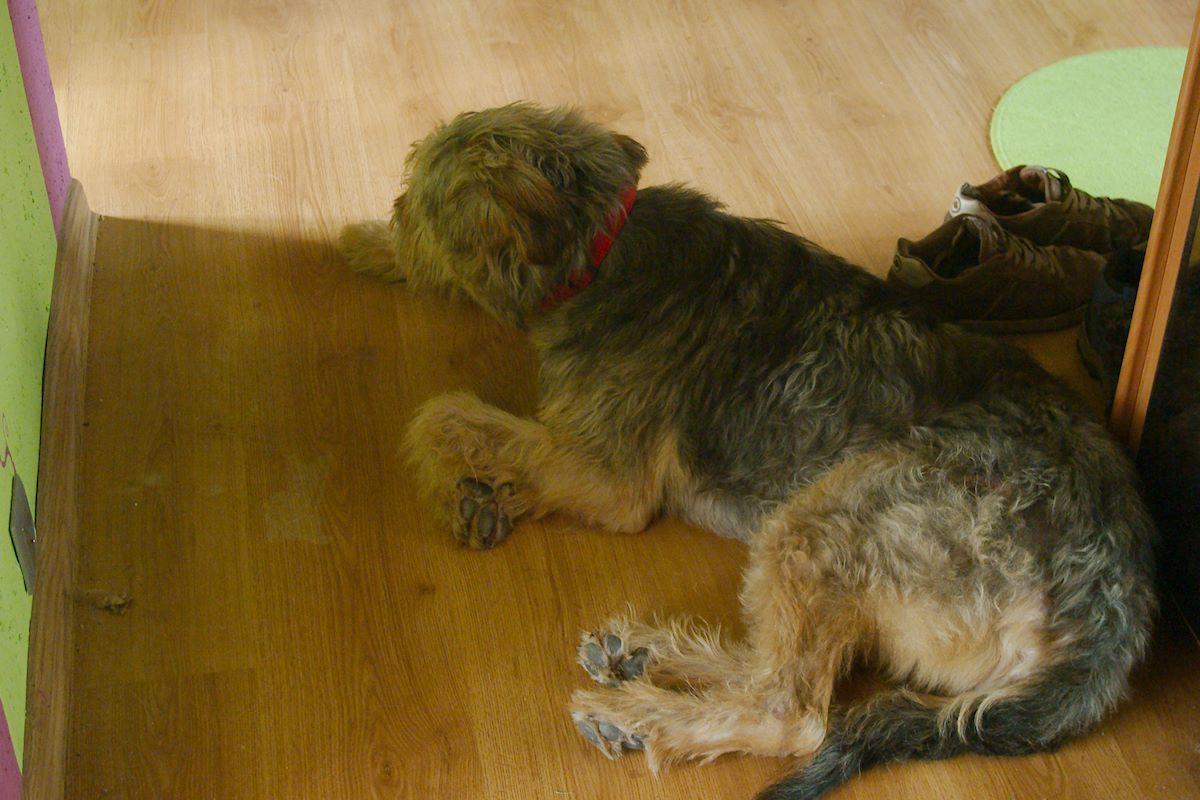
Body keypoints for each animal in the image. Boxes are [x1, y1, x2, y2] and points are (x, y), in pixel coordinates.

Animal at [339, 103, 1157, 799]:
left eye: (422, 195)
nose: (394, 212)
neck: (602, 247)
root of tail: (1108, 613)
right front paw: (363, 246)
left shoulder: (606, 476)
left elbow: (441, 413)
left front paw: (453, 482)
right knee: (773, 667)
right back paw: (643, 657)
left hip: (828, 520)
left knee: (789, 711)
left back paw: (636, 714)